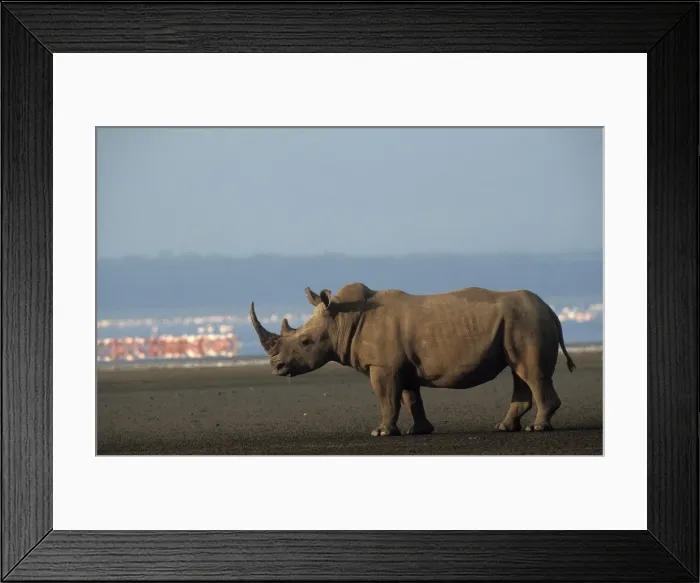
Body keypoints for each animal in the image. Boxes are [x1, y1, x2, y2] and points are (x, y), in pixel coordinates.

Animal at [249, 282, 576, 436]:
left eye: (305, 342)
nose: (276, 367)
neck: (342, 319)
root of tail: (552, 311)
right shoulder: (400, 366)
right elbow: (410, 398)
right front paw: (418, 431)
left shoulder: (382, 366)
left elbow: (387, 399)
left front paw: (381, 432)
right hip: (519, 322)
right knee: (519, 371)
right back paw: (504, 427)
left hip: (528, 321)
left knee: (531, 373)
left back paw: (537, 428)